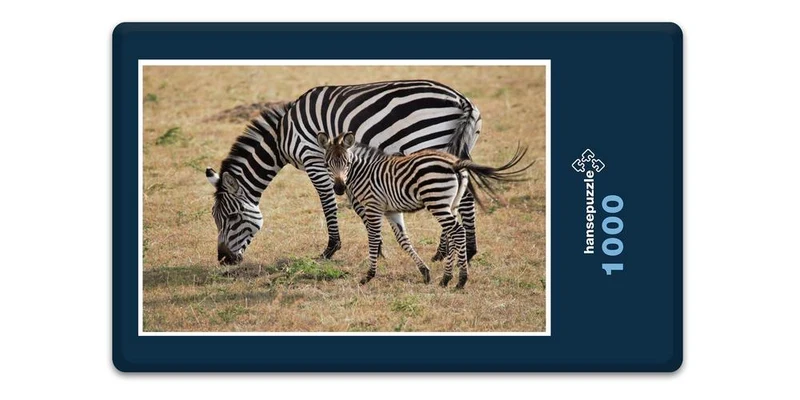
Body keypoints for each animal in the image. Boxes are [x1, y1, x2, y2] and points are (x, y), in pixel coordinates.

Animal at [206, 80, 483, 265]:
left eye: (232, 218)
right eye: (215, 219)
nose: (224, 260)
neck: (282, 135)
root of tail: (462, 100)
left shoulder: (314, 159)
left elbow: (328, 203)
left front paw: (331, 249)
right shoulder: (339, 165)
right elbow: (357, 204)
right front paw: (378, 248)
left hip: (427, 142)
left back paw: (453, 251)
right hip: (457, 148)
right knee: (462, 194)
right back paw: (458, 251)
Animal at [318, 131, 533, 289]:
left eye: (347, 163)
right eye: (327, 164)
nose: (339, 189)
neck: (364, 172)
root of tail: (454, 163)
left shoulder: (373, 207)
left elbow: (373, 238)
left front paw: (369, 275)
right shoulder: (391, 211)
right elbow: (403, 240)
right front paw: (424, 271)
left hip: (436, 200)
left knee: (457, 231)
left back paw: (460, 280)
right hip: (450, 203)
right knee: (452, 232)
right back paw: (446, 279)